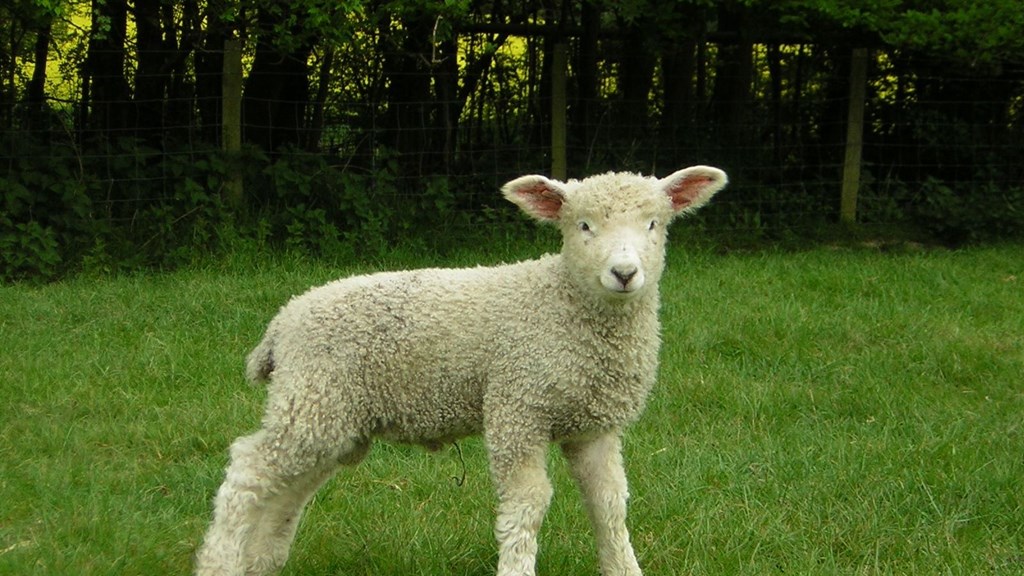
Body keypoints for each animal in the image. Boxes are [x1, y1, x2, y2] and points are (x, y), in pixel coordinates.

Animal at [194, 165, 728, 576]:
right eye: (583, 226)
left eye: (654, 223)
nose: (624, 273)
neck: (564, 305)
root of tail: (283, 322)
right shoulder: (517, 405)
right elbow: (528, 503)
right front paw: (516, 567)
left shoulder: (594, 425)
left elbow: (610, 504)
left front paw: (624, 568)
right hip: (312, 399)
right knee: (248, 472)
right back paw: (220, 562)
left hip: (332, 416)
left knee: (289, 488)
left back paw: (259, 561)